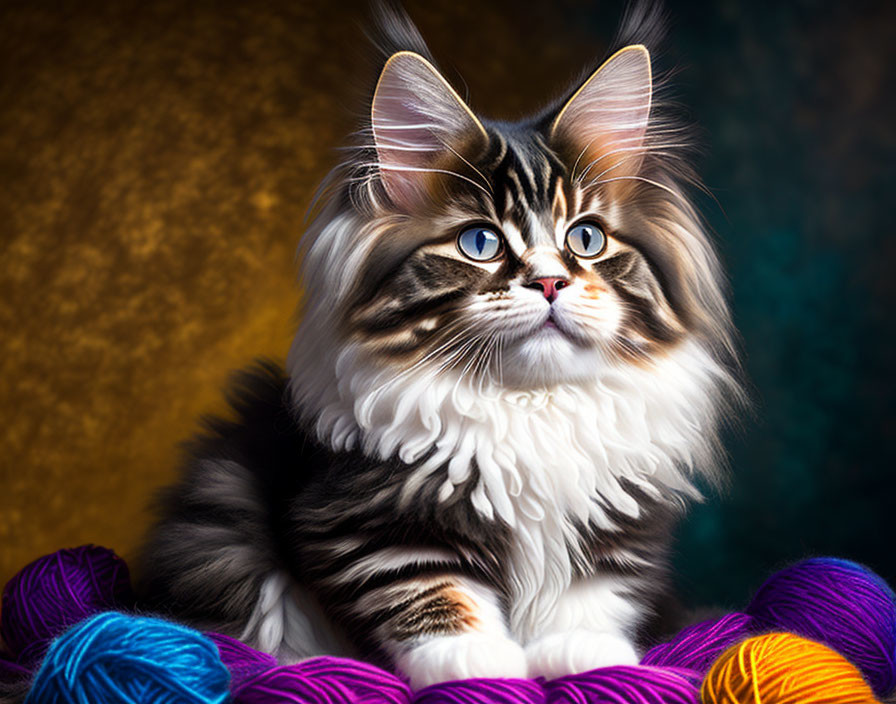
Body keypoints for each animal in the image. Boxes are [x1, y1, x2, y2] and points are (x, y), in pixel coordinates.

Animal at [138, 4, 744, 688]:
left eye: (586, 238)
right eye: (479, 242)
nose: (551, 282)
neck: (528, 406)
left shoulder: (612, 509)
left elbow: (589, 591)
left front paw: (584, 654)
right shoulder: (370, 518)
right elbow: (432, 589)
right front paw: (476, 662)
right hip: (220, 525)